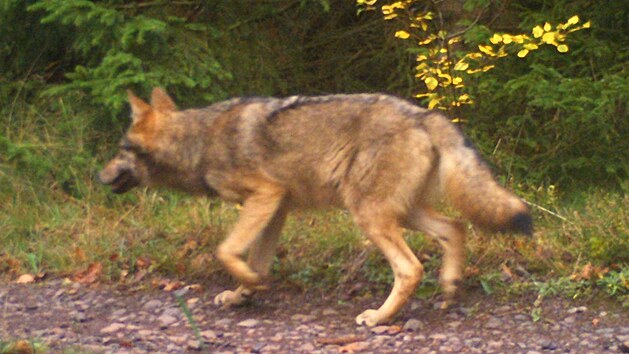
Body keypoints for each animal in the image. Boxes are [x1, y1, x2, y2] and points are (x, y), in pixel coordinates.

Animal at [100, 88, 532, 326]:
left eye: (120, 148)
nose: (98, 175)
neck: (198, 141)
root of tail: (423, 114)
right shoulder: (276, 208)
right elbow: (255, 261)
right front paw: (244, 294)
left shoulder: (265, 196)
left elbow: (226, 251)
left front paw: (249, 285)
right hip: (401, 213)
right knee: (456, 228)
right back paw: (450, 289)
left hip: (370, 216)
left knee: (410, 269)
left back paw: (379, 317)